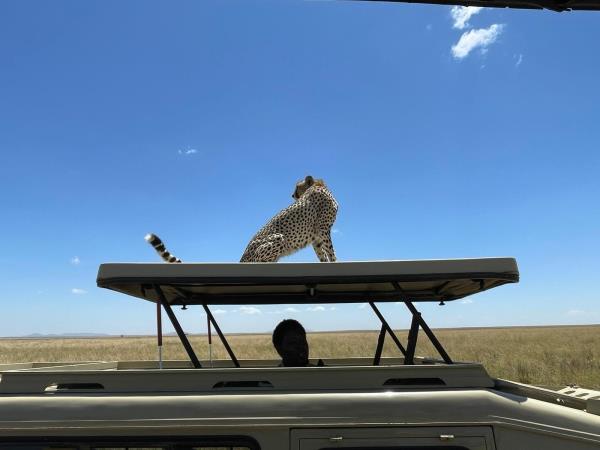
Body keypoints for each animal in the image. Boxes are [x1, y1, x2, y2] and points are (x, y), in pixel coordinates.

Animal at [146, 174, 338, 262]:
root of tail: (243, 257)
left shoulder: (317, 236)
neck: (319, 186)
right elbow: (330, 251)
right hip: (278, 238)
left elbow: (322, 254)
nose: (292, 194)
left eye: (297, 187)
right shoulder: (323, 229)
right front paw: (336, 261)